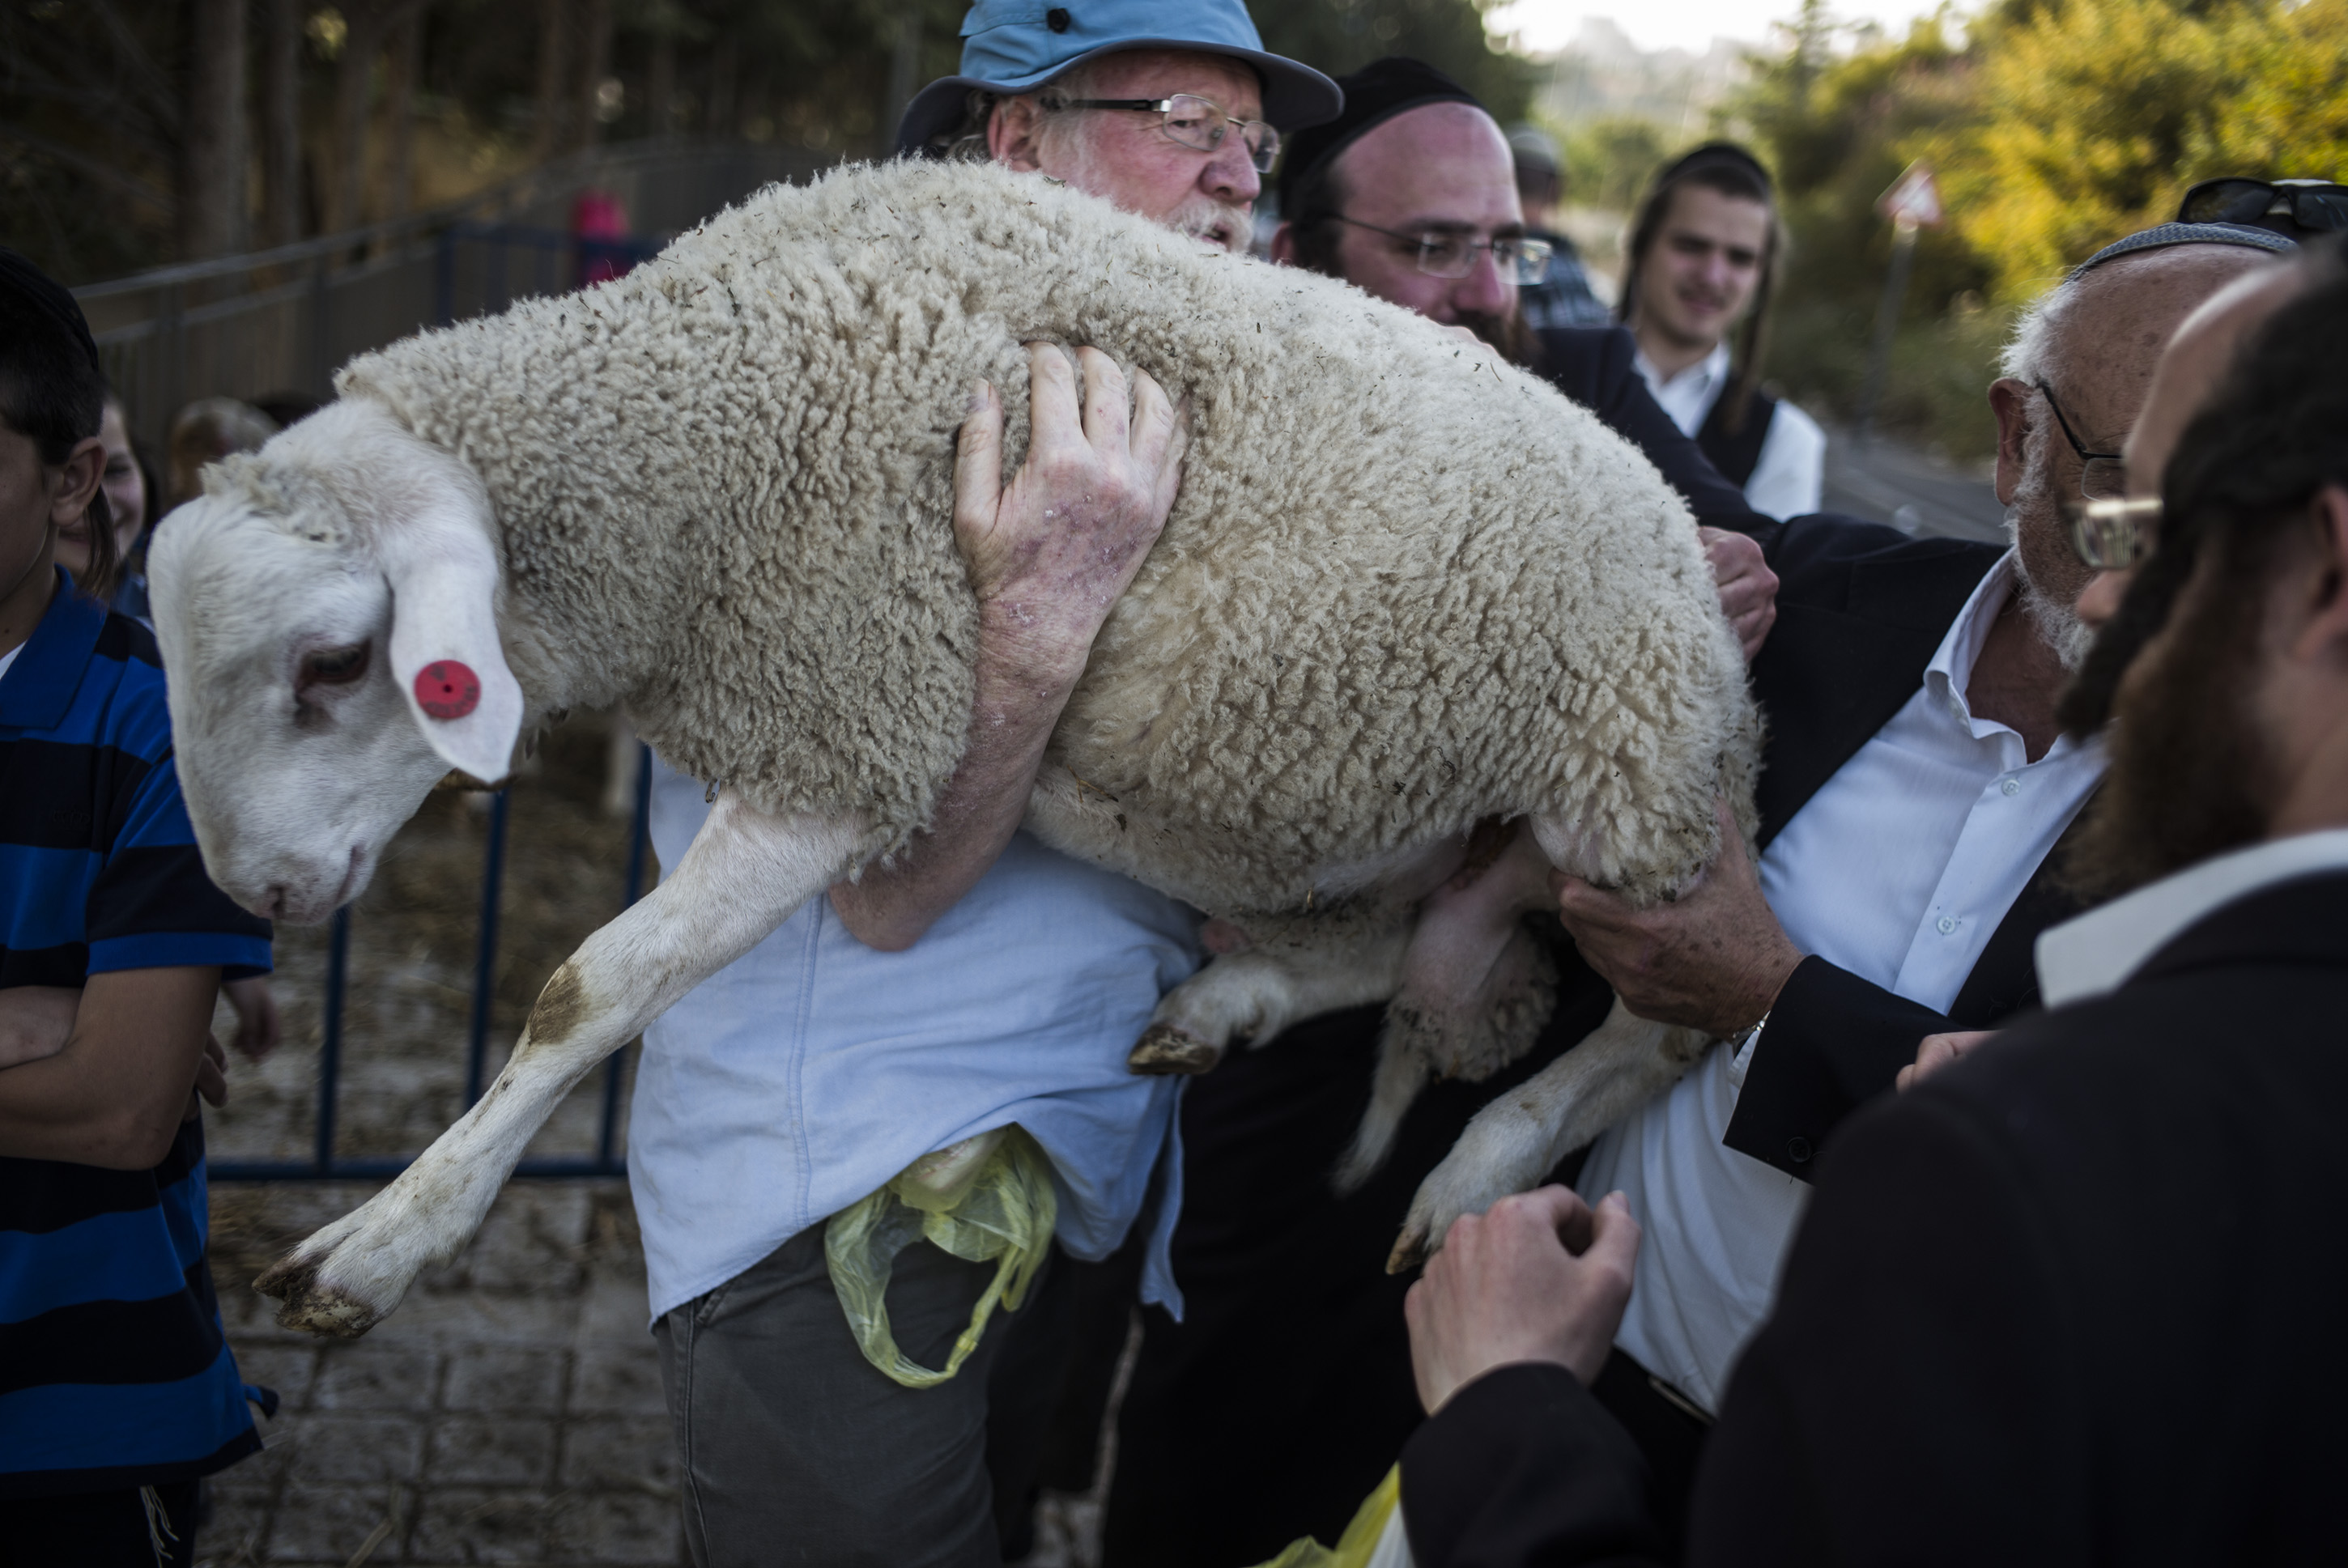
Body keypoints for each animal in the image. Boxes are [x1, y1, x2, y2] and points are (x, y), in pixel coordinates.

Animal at [149, 157, 1759, 1337]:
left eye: (334, 663)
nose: (256, 893)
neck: (703, 420)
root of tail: (1689, 547)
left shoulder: (857, 727)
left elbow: (588, 990)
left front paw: (377, 1246)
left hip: (1631, 797)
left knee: (1666, 1025)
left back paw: (1488, 1161)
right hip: (1378, 826)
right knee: (1403, 949)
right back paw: (1227, 1004)